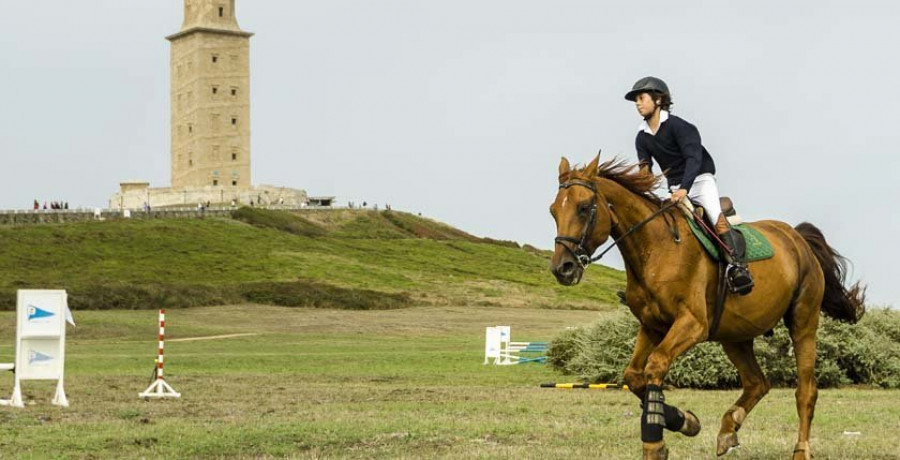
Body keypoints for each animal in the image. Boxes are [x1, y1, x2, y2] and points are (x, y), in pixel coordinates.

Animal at [548, 155, 864, 460]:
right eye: (553, 211)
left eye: (584, 208)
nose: (563, 269)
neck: (656, 248)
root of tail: (797, 238)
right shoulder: (651, 326)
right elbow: (633, 376)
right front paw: (686, 421)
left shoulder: (692, 324)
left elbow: (656, 365)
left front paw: (655, 444)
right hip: (735, 335)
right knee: (757, 383)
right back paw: (728, 430)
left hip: (803, 323)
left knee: (805, 391)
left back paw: (801, 450)